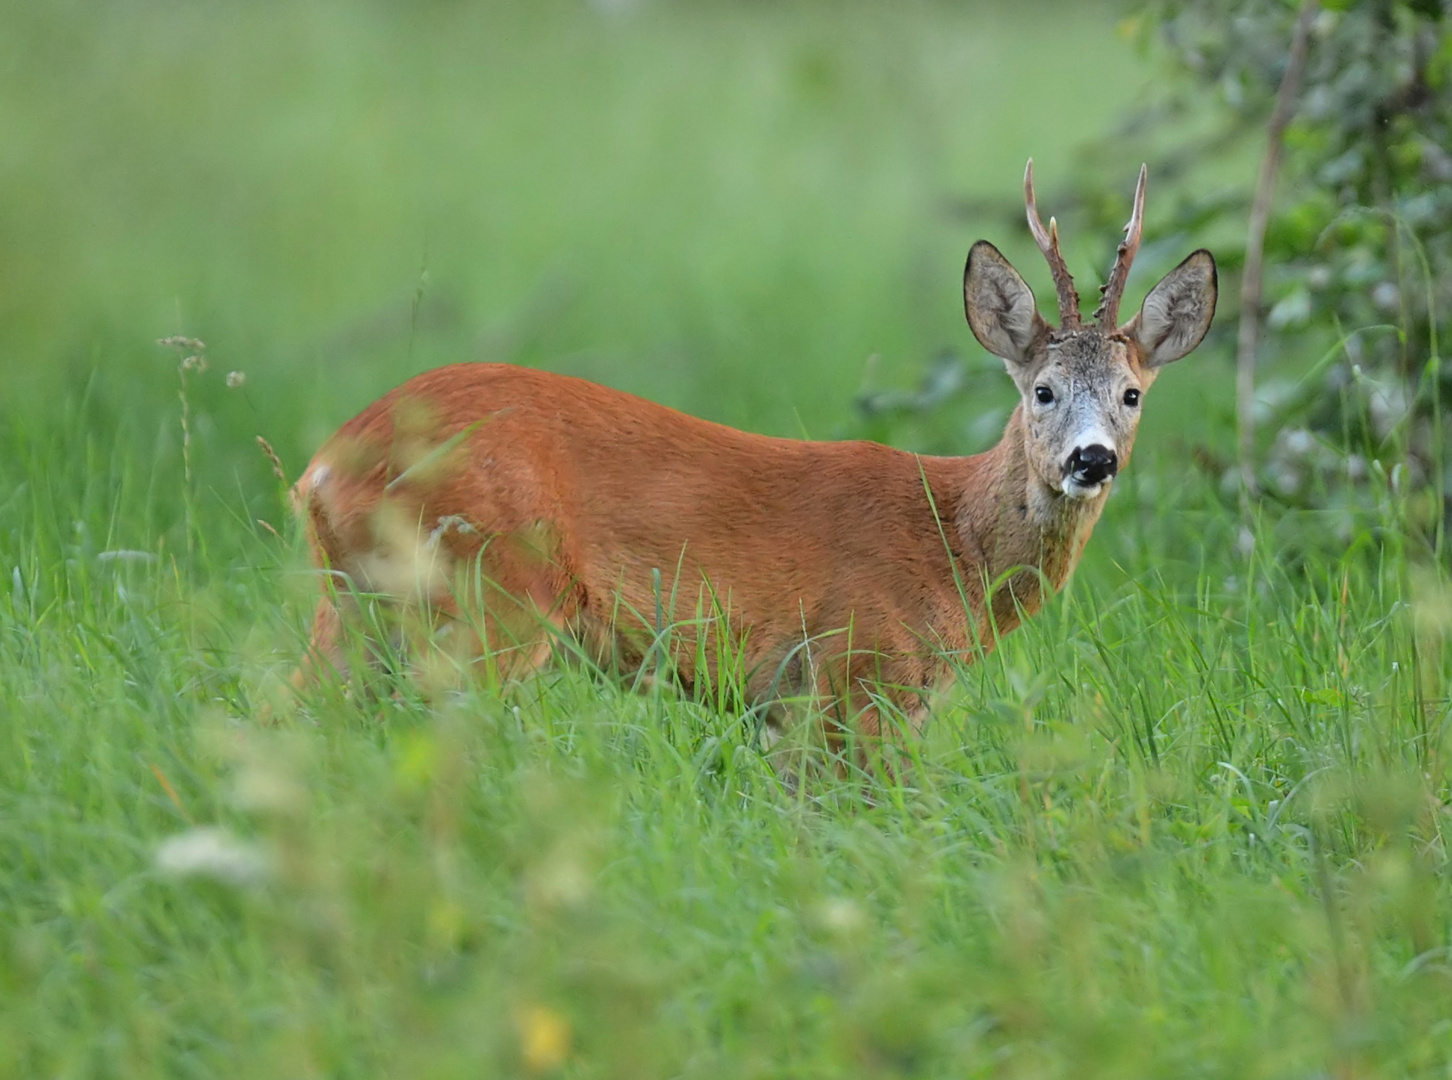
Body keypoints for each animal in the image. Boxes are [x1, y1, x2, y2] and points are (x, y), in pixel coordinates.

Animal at [291, 162, 1213, 749]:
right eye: (1043, 390)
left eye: (1132, 394)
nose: (1092, 461)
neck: (951, 540)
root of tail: (324, 466)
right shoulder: (858, 670)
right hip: (488, 595)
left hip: (361, 604)